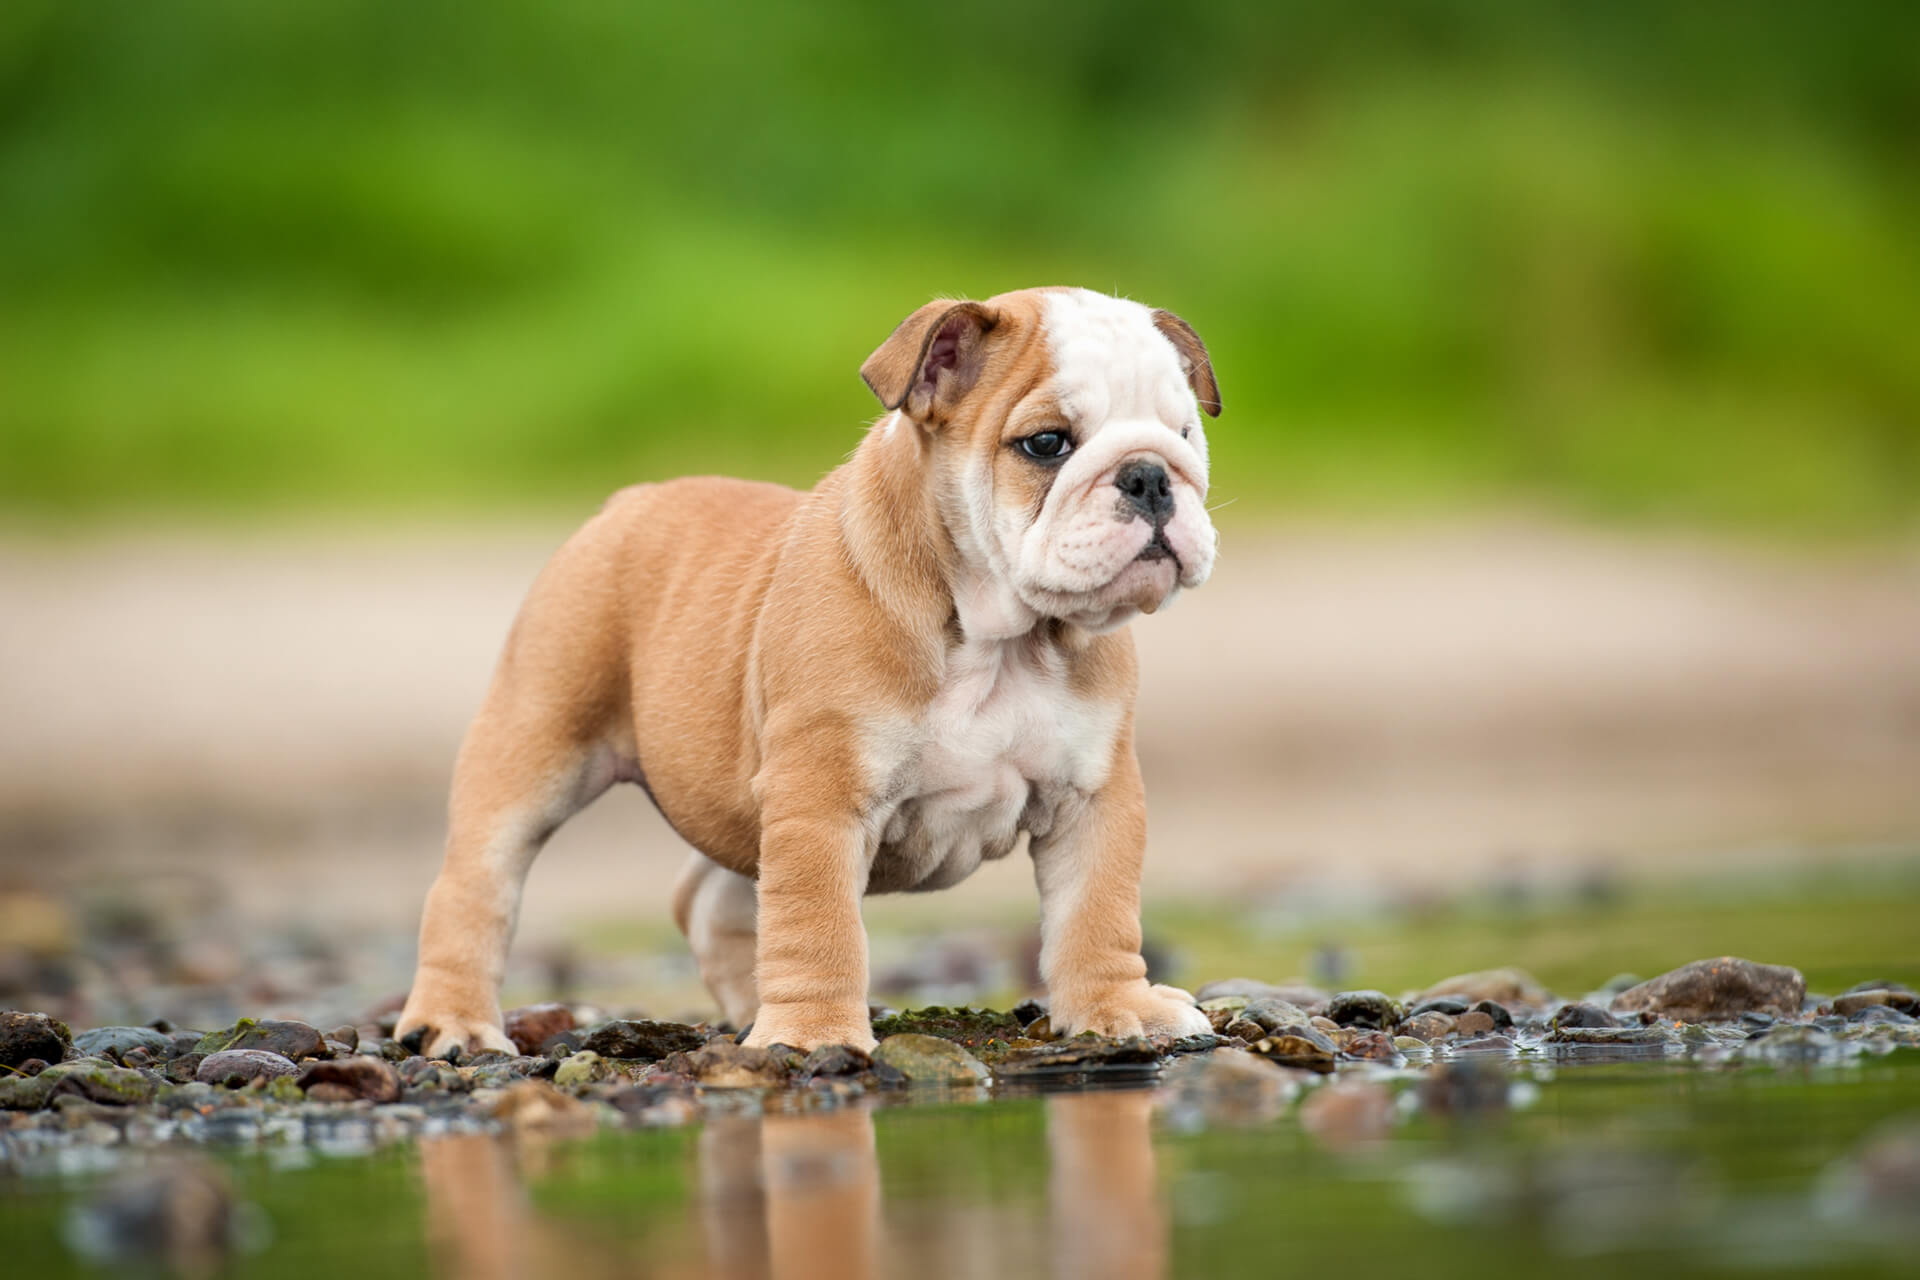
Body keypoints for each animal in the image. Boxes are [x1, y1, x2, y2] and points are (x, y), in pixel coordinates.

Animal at [397, 289, 1221, 1059]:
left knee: (712, 898)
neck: (999, 639)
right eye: (1046, 443)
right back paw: (453, 1023)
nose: (1150, 476)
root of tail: (626, 503)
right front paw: (814, 1036)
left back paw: (745, 1007)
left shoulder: (1094, 797)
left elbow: (1097, 913)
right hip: (536, 745)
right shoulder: (820, 798)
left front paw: (1119, 1008)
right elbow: (819, 922)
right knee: (475, 887)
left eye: (1184, 434)